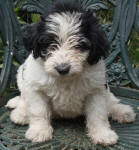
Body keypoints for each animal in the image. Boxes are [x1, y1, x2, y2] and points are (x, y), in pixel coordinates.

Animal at [5, 0, 136, 145]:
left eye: (79, 45)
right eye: (50, 44)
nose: (62, 69)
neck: (65, 79)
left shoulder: (96, 89)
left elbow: (98, 113)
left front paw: (102, 133)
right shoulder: (35, 86)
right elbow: (38, 111)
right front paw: (39, 131)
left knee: (110, 101)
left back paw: (123, 112)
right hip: (22, 75)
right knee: (24, 97)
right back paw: (21, 113)